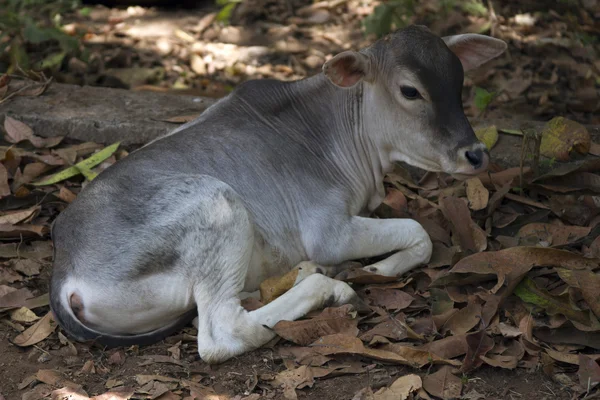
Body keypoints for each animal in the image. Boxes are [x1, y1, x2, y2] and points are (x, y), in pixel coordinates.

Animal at [49, 25, 506, 362]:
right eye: (410, 91)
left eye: (459, 82)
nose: (476, 154)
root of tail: (63, 267)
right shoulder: (329, 231)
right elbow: (419, 231)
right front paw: (377, 268)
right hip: (215, 203)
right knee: (220, 333)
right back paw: (326, 286)